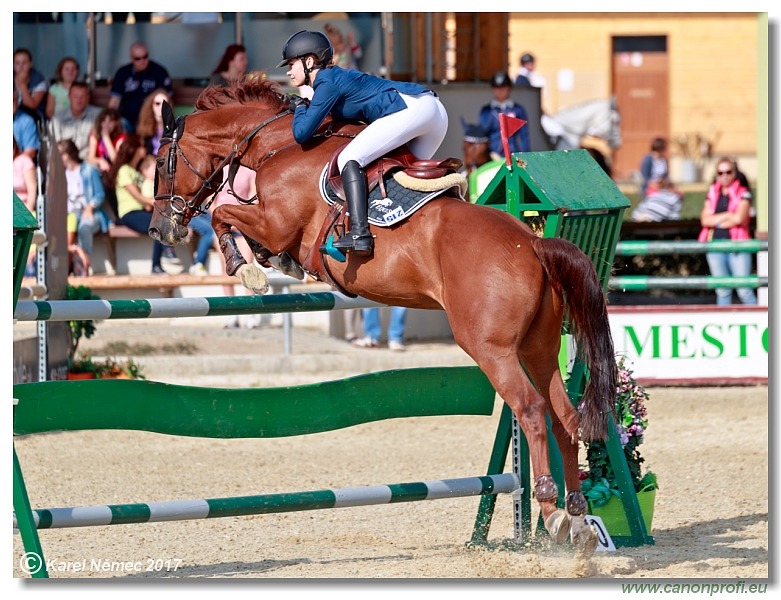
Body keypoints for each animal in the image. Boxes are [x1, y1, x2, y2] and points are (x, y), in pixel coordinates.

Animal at [149, 79, 616, 556]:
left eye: (162, 164)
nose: (160, 230)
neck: (278, 143)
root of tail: (533, 242)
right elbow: (242, 228)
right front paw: (267, 263)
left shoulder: (275, 222)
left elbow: (223, 214)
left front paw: (245, 269)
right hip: (538, 346)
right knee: (565, 414)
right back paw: (578, 517)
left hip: (492, 349)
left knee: (532, 409)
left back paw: (551, 510)